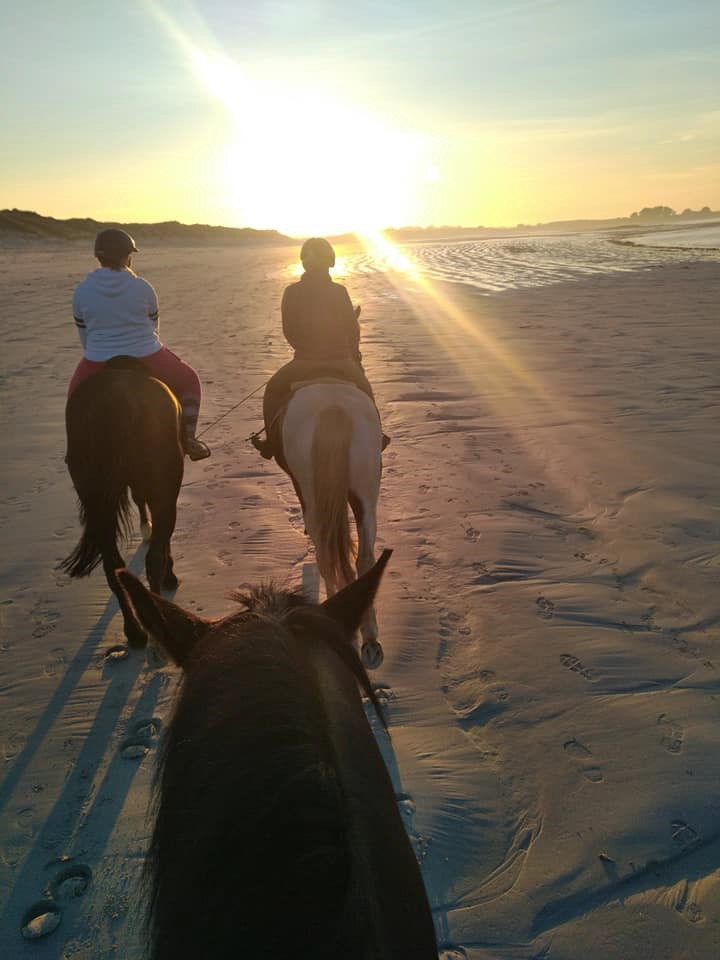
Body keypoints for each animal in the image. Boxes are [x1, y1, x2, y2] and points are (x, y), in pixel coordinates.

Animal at [278, 380, 386, 668]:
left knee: (326, 555)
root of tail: (332, 406)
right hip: (366, 491)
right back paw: (369, 638)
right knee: (365, 558)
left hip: (312, 494)